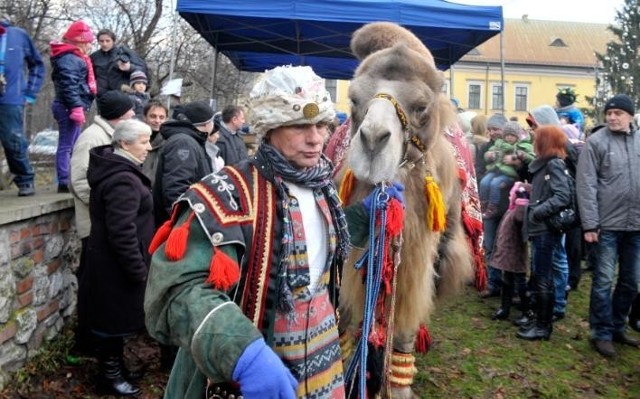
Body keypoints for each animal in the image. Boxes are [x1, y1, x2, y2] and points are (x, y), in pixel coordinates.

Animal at [336, 22, 476, 399]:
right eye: (354, 99)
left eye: (422, 106)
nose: (372, 140)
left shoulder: (420, 261)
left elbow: (403, 327)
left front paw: (394, 384)